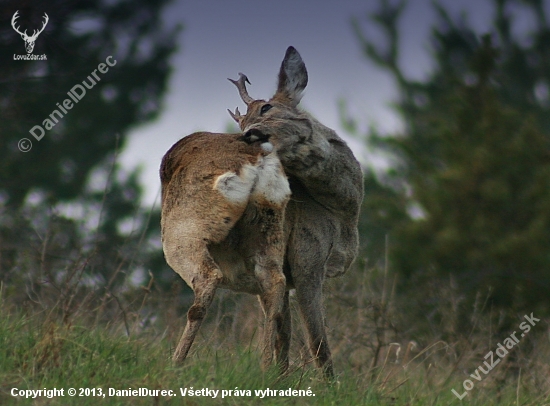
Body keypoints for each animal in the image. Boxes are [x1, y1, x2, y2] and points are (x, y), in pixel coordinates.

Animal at [162, 46, 364, 380]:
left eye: (267, 107)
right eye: (242, 121)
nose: (250, 134)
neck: (343, 209)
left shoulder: (309, 260)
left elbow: (315, 338)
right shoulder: (305, 258)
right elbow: (291, 330)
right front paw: (283, 377)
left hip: (184, 227)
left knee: (207, 278)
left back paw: (176, 363)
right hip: (265, 231)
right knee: (273, 286)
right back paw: (266, 368)